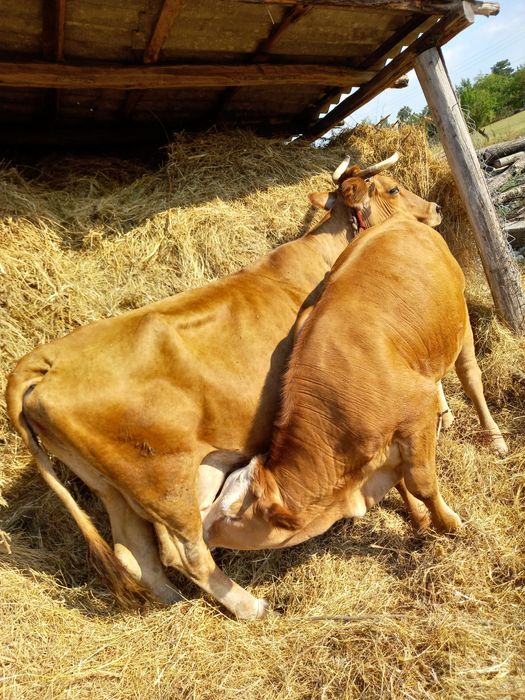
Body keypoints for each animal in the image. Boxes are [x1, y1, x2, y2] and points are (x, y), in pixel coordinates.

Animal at [7, 153, 449, 620]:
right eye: (394, 188)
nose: (435, 209)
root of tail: (44, 362)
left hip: (112, 489)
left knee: (134, 553)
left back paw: (176, 603)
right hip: (166, 483)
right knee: (186, 552)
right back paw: (249, 605)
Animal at [204, 169, 508, 616]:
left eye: (233, 515)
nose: (201, 531)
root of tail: (398, 225)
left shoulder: (413, 415)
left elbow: (422, 481)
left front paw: (448, 523)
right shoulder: (380, 447)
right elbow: (401, 484)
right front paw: (419, 521)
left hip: (461, 322)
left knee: (471, 378)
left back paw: (495, 437)